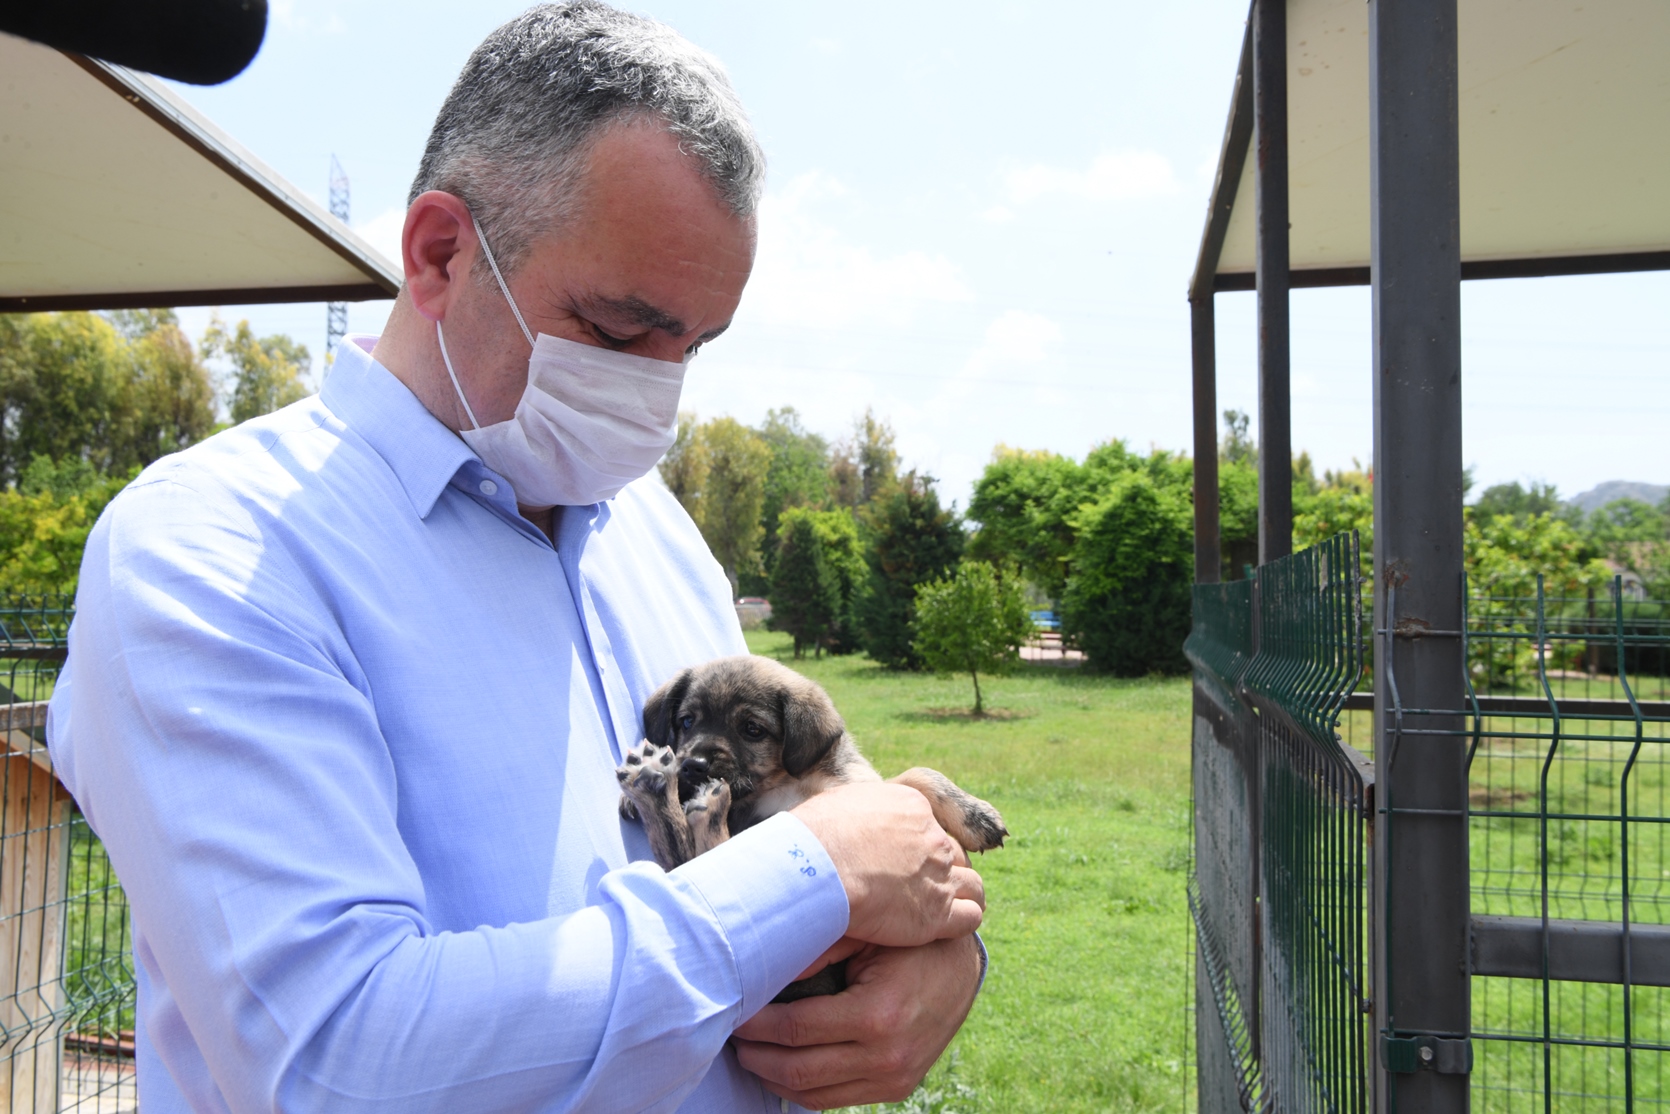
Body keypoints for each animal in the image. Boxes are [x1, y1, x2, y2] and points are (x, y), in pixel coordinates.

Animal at [614, 654, 1002, 1002]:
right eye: (687, 721)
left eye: (752, 730)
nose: (692, 766)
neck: (784, 781)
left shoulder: (861, 784)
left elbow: (921, 773)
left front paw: (977, 815)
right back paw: (659, 789)